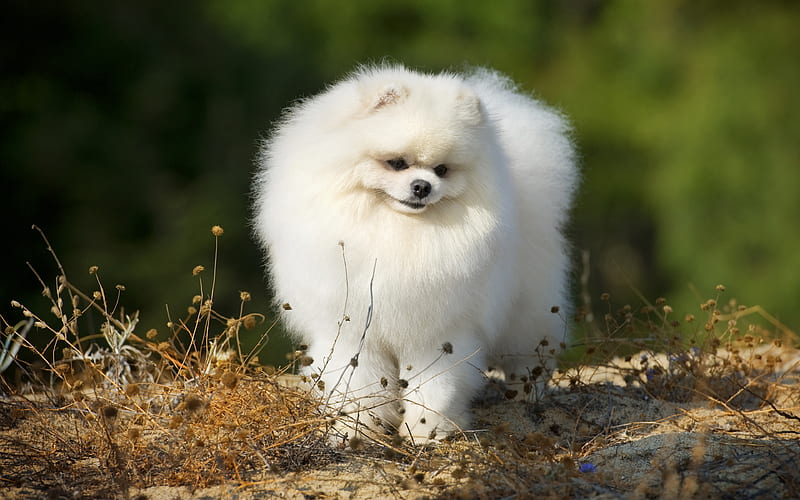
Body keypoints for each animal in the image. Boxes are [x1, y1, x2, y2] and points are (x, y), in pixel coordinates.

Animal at [253, 63, 580, 442]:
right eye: (397, 163)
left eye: (442, 170)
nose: (422, 186)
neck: (398, 230)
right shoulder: (355, 332)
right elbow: (359, 385)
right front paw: (357, 430)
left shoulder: (437, 333)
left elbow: (434, 387)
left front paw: (426, 433)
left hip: (527, 311)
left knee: (529, 354)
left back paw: (526, 393)